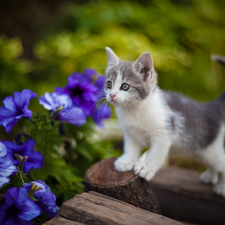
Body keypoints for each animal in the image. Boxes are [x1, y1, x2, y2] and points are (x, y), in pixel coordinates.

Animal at [104, 48, 225, 197]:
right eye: (109, 84)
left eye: (125, 86)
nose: (111, 95)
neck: (134, 110)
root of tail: (210, 107)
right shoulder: (131, 132)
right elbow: (131, 147)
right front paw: (127, 161)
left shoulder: (165, 133)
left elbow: (156, 152)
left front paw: (146, 167)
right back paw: (211, 176)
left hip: (209, 148)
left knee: (221, 162)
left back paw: (222, 186)